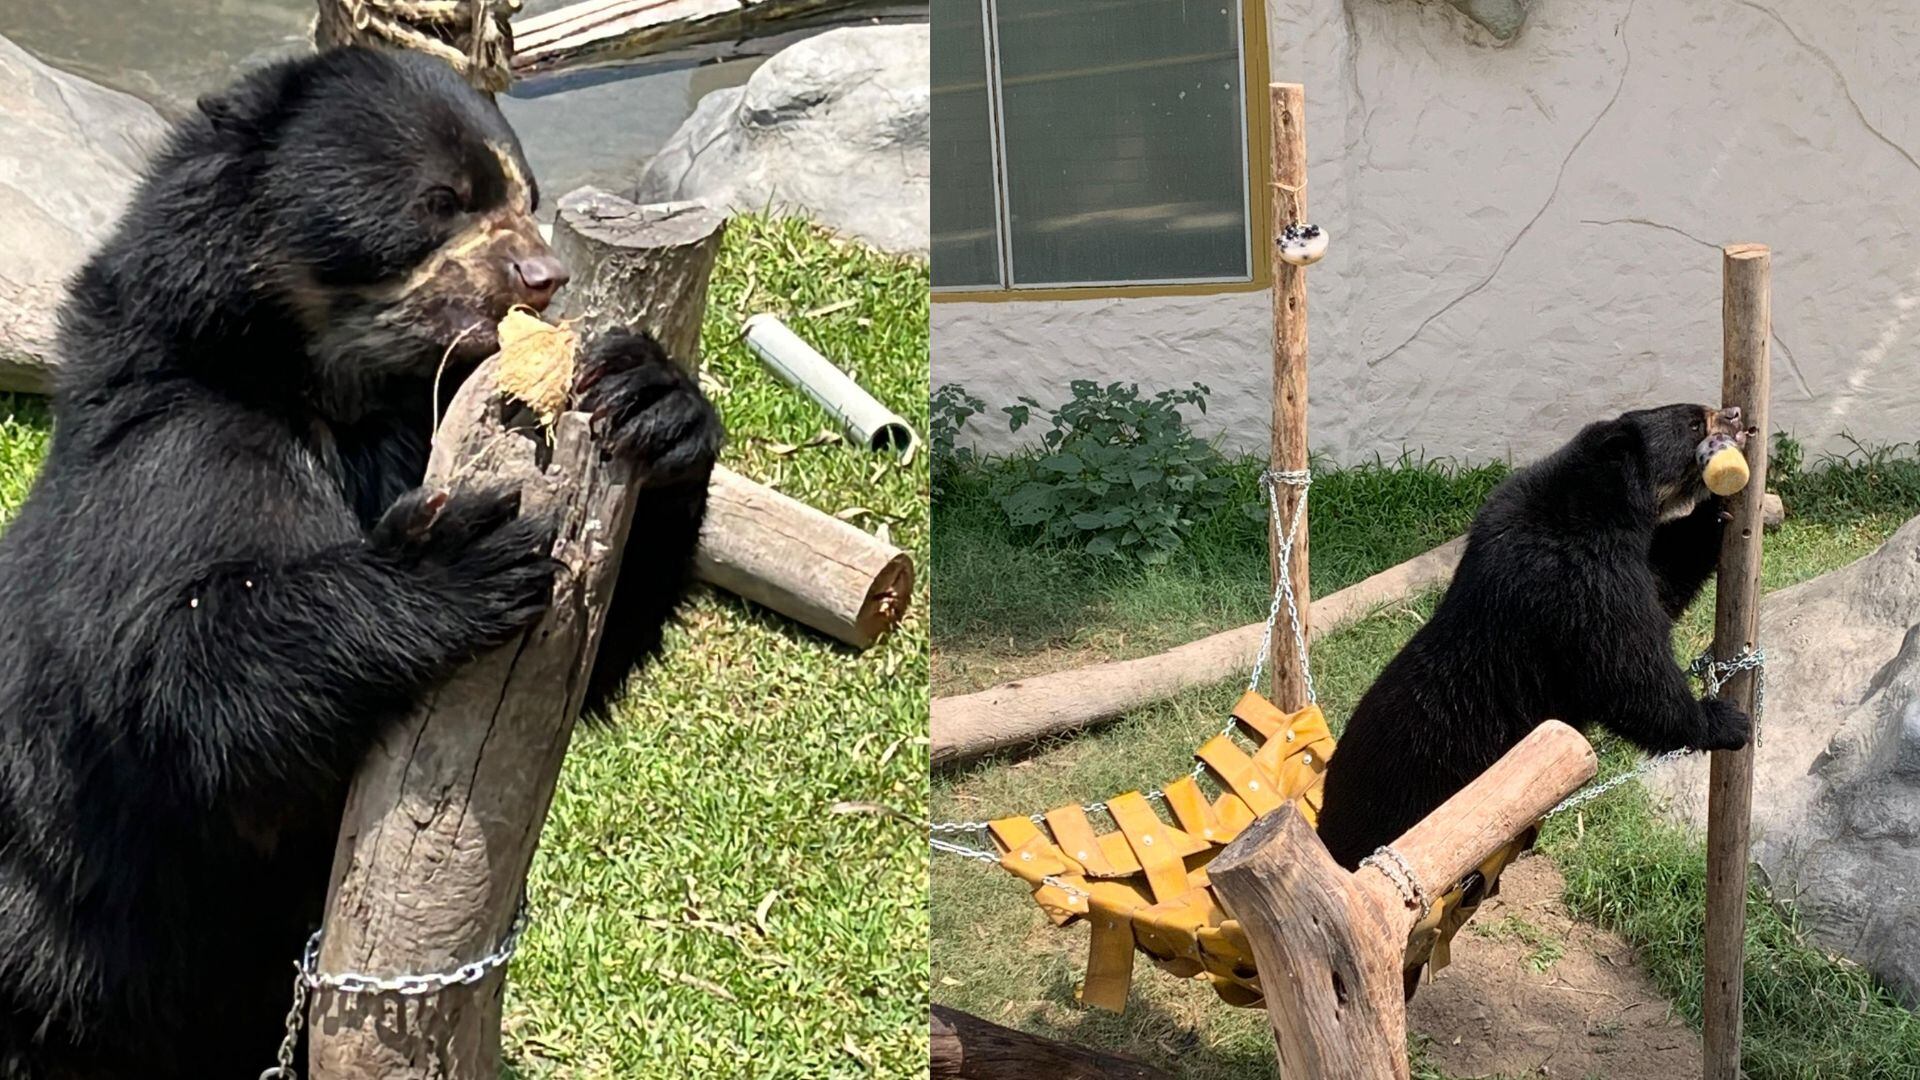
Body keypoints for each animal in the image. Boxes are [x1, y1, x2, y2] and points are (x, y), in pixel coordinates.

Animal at [0, 47, 720, 1078]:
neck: (337, 395)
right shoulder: (171, 452)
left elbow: (601, 642)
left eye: (530, 198)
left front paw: (651, 397)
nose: (543, 276)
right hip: (58, 937)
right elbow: (181, 677)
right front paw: (457, 553)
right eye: (441, 201)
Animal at [1315, 403, 1754, 880]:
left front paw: (1716, 513)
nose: (1737, 416)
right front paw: (1725, 720)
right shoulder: (1580, 584)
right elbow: (1627, 669)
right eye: (1693, 422)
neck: (1598, 504)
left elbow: (1665, 577)